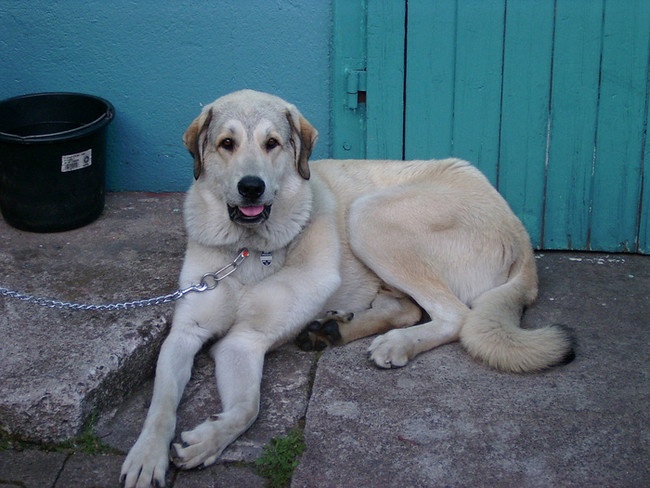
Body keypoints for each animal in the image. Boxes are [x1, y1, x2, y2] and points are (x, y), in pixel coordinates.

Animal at [120, 89, 572, 486]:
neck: (248, 252)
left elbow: (248, 408)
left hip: (368, 215)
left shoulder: (245, 340)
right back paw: (333, 329)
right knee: (408, 308)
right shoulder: (186, 334)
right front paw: (147, 455)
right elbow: (161, 404)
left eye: (272, 144)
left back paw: (395, 342)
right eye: (226, 143)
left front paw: (207, 441)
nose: (251, 186)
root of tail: (521, 235)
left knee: (454, 315)